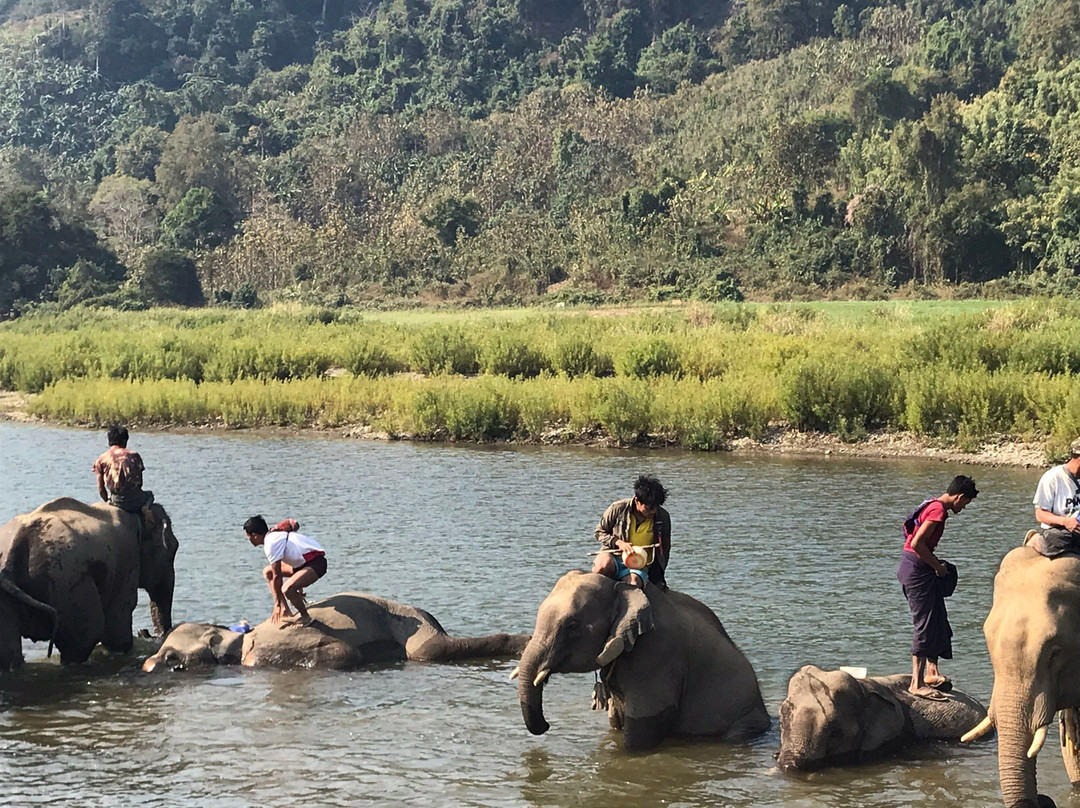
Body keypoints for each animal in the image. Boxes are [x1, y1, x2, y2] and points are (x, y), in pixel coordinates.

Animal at [0, 494, 177, 674]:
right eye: (173, 550)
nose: (150, 634)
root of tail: (16, 544)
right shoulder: (127, 559)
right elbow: (117, 626)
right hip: (67, 580)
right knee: (85, 637)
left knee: (8, 652)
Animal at [514, 566, 768, 751]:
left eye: (572, 626)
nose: (546, 726)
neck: (622, 588)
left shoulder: (658, 655)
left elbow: (641, 731)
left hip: (744, 719)